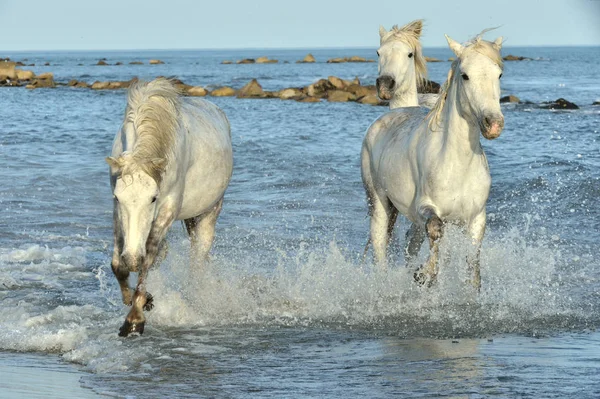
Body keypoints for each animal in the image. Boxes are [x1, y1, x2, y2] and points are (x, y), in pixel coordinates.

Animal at [106, 79, 233, 338]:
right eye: (118, 198)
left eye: (153, 198)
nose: (131, 258)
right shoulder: (116, 210)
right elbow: (118, 264)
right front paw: (135, 298)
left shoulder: (167, 209)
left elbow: (148, 257)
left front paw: (134, 318)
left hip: (210, 212)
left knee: (197, 260)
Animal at [364, 28, 504, 290]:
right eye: (465, 76)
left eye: (499, 74)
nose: (493, 124)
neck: (457, 163)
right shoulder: (426, 208)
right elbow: (435, 229)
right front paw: (424, 274)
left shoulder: (476, 218)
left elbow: (472, 266)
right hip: (378, 203)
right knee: (380, 245)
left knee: (411, 242)